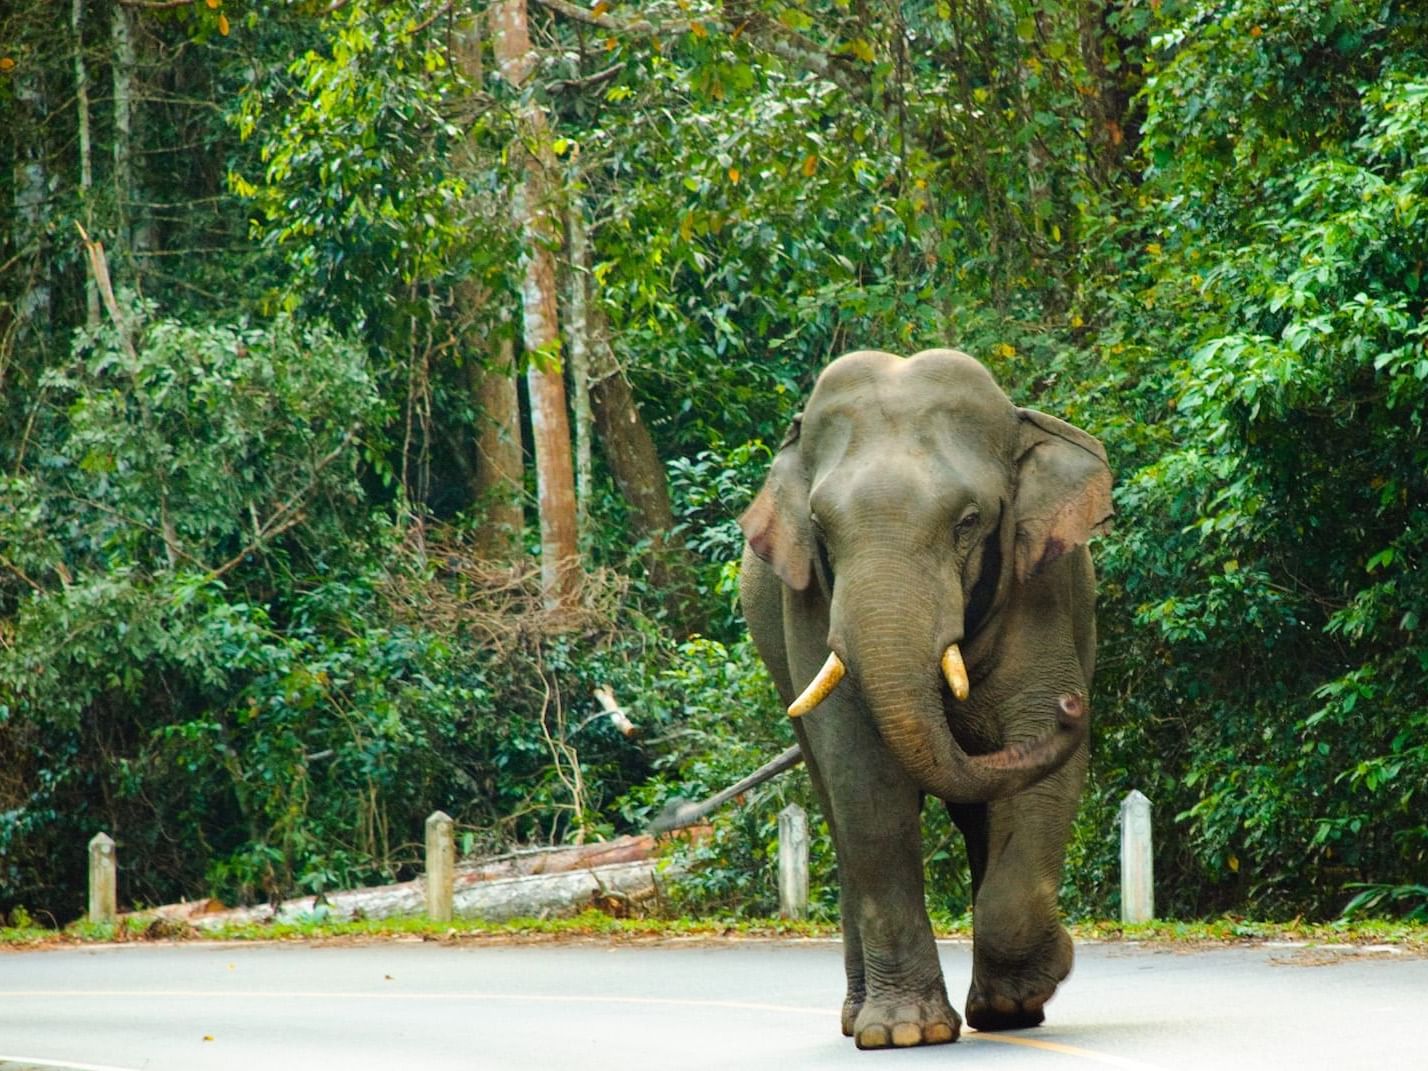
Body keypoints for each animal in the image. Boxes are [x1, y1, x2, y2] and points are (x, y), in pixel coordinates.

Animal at [742, 349, 1108, 1051]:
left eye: (968, 523)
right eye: (820, 528)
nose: (1074, 707)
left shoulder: (1042, 583)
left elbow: (1039, 766)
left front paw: (1044, 976)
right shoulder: (808, 606)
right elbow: (863, 776)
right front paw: (904, 1034)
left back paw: (1005, 1010)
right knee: (839, 815)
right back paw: (860, 1017)